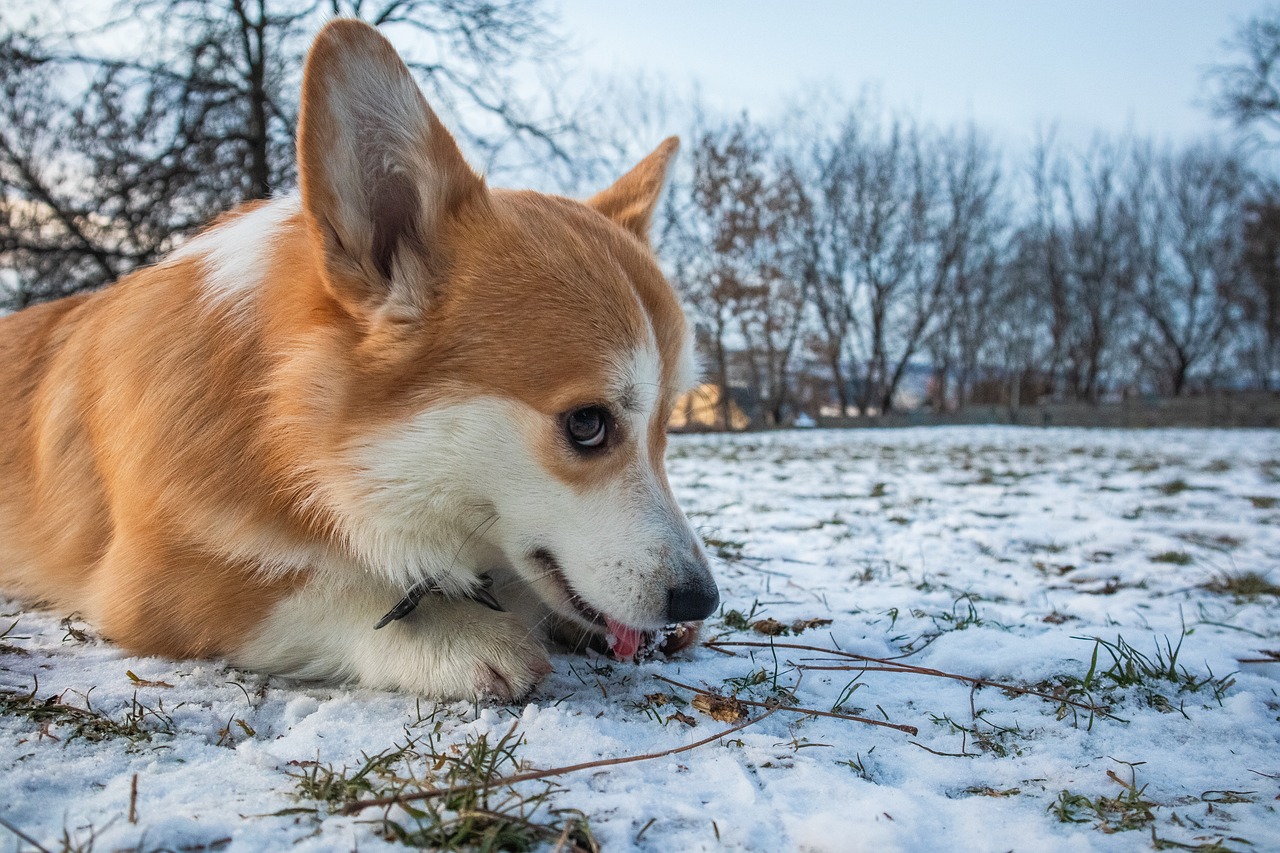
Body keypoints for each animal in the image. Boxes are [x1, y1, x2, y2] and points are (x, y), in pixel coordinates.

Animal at [0, 18, 716, 696]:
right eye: (587, 423)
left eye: (666, 427)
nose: (702, 600)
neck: (282, 431)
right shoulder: (153, 583)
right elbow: (326, 589)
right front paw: (459, 632)